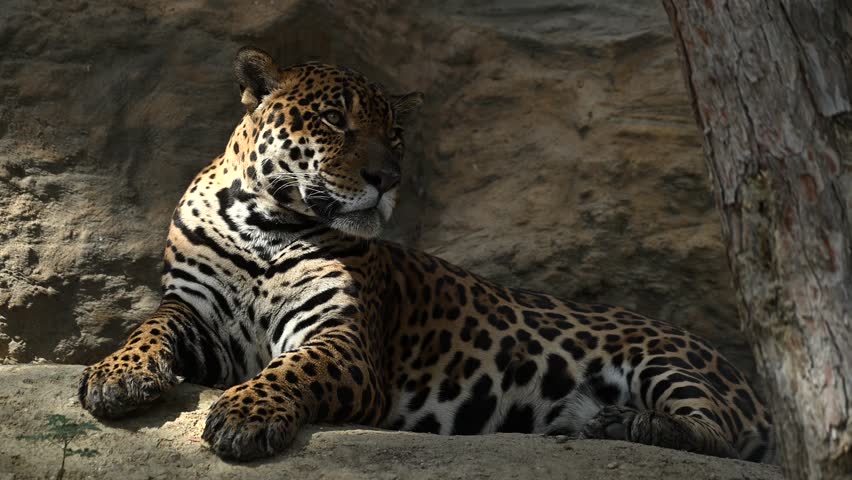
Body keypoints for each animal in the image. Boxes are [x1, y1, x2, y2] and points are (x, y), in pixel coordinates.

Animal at [78, 46, 775, 463]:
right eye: (334, 121)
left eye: (395, 135)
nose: (387, 178)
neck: (265, 223)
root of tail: (749, 379)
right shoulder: (199, 318)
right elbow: (148, 325)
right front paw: (118, 375)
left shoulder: (346, 343)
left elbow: (293, 369)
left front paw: (247, 413)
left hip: (669, 363)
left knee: (719, 435)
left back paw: (629, 426)